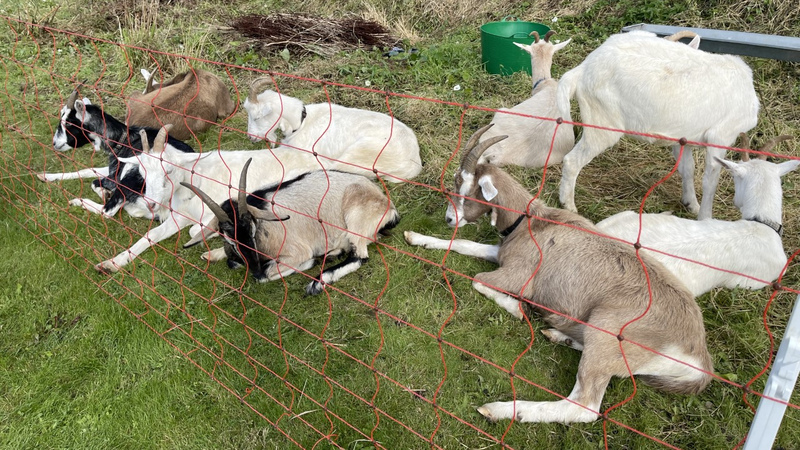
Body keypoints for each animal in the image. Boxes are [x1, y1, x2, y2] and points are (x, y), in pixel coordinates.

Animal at [40, 88, 194, 219]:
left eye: (69, 123)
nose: (54, 143)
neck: (124, 140)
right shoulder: (114, 167)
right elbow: (88, 170)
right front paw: (45, 176)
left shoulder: (116, 175)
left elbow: (94, 182)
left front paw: (104, 193)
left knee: (107, 211)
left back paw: (79, 201)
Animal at [181, 158, 398, 294]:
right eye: (228, 238)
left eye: (252, 229)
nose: (254, 268)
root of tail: (387, 205)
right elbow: (231, 259)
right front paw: (212, 254)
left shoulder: (296, 251)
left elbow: (266, 274)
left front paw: (308, 264)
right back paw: (332, 254)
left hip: (356, 218)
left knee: (360, 256)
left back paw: (317, 283)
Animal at [405, 124, 712, 424]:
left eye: (464, 188)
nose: (449, 219)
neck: (531, 222)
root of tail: (699, 359)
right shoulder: (502, 254)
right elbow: (464, 244)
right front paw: (416, 237)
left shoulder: (518, 276)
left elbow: (479, 279)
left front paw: (517, 309)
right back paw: (559, 335)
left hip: (608, 333)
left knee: (584, 406)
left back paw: (501, 409)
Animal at [556, 30, 759, 220]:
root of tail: (583, 69)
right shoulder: (721, 135)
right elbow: (711, 181)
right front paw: (705, 217)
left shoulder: (683, 137)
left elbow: (687, 168)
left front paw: (691, 204)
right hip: (602, 121)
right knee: (572, 160)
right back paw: (569, 206)